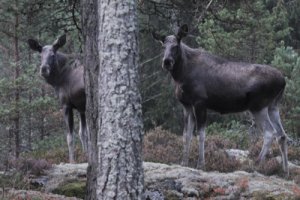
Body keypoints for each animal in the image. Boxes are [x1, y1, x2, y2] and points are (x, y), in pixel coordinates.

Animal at [27, 34, 88, 162]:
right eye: (40, 55)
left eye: (53, 55)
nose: (44, 69)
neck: (58, 80)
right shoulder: (81, 108)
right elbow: (83, 133)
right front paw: (86, 155)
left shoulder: (66, 105)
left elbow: (70, 137)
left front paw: (72, 161)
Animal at [154, 24, 290, 175]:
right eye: (163, 46)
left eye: (176, 46)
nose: (167, 62)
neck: (181, 76)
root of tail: (283, 81)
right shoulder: (187, 105)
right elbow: (186, 135)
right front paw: (184, 162)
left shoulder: (200, 102)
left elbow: (200, 134)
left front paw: (201, 164)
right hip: (273, 106)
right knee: (282, 135)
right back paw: (285, 170)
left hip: (258, 106)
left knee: (269, 133)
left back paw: (256, 164)